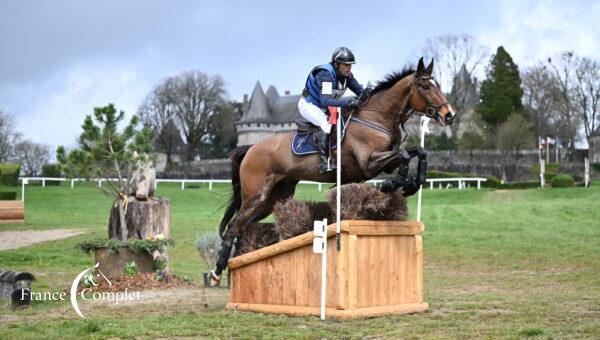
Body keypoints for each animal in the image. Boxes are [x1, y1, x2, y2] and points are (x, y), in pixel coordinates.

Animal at [209, 57, 452, 284]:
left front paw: (412, 183)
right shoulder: (369, 163)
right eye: (426, 87)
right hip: (256, 196)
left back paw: (236, 265)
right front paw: (395, 183)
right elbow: (403, 156)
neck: (376, 117)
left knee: (245, 225)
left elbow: (418, 151)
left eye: (438, 85)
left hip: (274, 198)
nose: (449, 115)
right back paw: (216, 272)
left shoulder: (386, 160)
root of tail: (251, 148)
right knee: (233, 226)